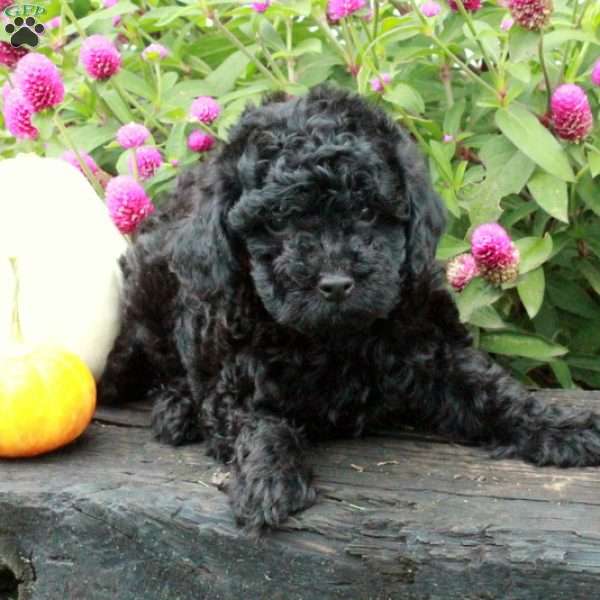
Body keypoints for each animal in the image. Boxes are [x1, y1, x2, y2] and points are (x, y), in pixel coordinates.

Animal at [101, 83, 600, 528]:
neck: (334, 337)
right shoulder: (234, 375)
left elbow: (494, 393)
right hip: (150, 286)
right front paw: (269, 478)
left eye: (365, 212)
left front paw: (565, 427)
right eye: (278, 223)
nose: (337, 284)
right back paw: (177, 408)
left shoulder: (433, 344)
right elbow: (258, 423)